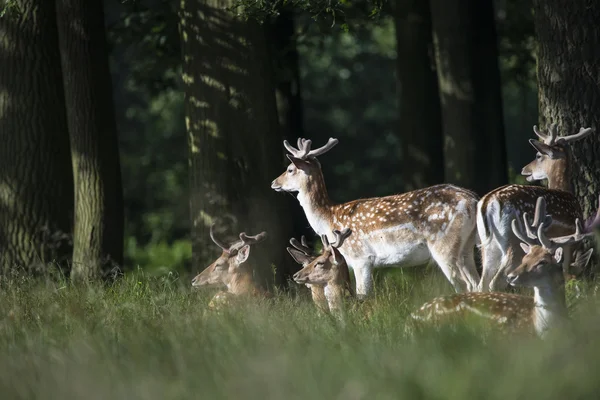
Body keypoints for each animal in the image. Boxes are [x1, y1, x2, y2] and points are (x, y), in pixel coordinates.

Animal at [272, 138, 482, 296]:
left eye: (290, 169)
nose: (274, 182)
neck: (329, 219)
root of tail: (473, 199)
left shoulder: (360, 257)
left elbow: (363, 294)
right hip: (467, 247)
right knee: (477, 283)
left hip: (444, 245)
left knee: (465, 285)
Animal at [476, 123, 592, 292]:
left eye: (538, 156)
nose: (525, 169)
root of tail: (487, 202)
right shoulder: (569, 241)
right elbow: (564, 271)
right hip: (513, 240)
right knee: (497, 281)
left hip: (488, 246)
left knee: (481, 283)